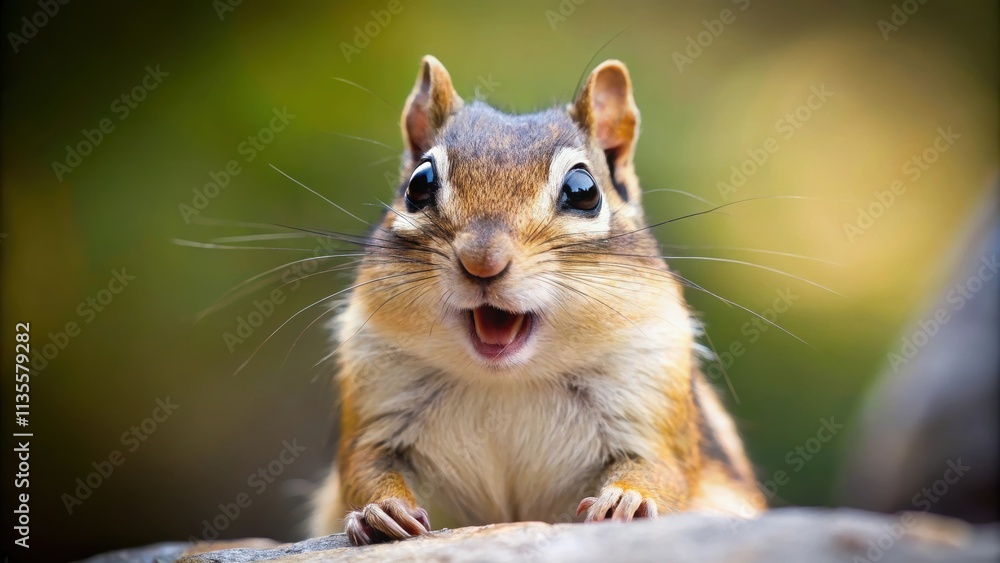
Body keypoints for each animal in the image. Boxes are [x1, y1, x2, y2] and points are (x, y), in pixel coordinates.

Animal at [311, 55, 765, 545]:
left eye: (584, 190)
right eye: (419, 184)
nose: (482, 260)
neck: (506, 380)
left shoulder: (650, 390)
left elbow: (660, 468)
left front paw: (627, 499)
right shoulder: (376, 399)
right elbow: (364, 464)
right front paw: (381, 510)